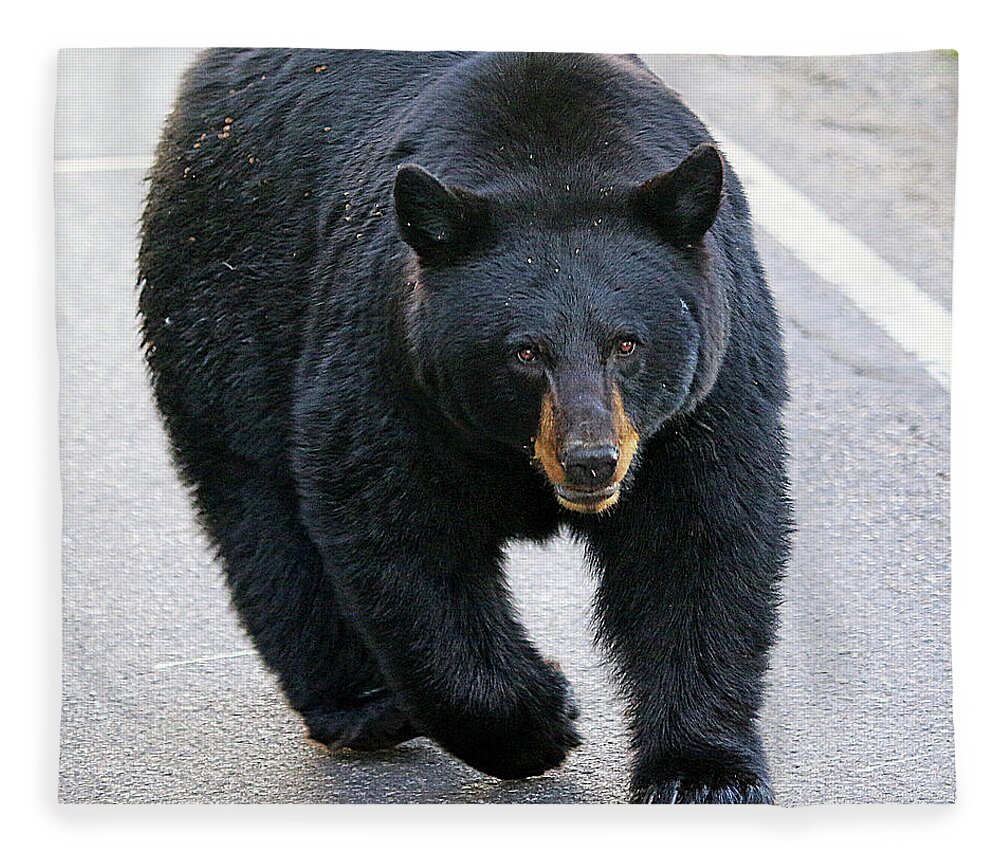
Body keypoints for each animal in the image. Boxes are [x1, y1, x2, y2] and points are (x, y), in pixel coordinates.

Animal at [137, 50, 792, 804]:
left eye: (626, 344)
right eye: (525, 352)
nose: (591, 460)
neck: (555, 163)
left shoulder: (708, 387)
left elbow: (699, 540)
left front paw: (702, 774)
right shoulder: (393, 365)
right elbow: (401, 534)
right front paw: (541, 720)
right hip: (228, 306)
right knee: (260, 511)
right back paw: (362, 706)